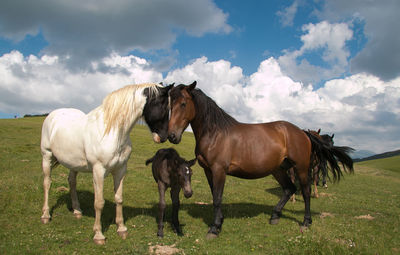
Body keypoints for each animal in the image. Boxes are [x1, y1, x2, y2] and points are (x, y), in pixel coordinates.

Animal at [39, 82, 173, 244]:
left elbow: (119, 199)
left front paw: (121, 229)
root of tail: (52, 115)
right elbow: (99, 202)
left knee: (72, 182)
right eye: (164, 106)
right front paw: (98, 235)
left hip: (73, 163)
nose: (164, 137)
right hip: (47, 156)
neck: (113, 132)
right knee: (47, 183)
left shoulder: (121, 170)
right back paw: (45, 215)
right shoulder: (98, 170)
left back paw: (77, 211)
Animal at [167, 82, 354, 239]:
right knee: (289, 189)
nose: (172, 136)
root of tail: (302, 132)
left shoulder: (219, 170)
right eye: (170, 105)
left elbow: (218, 198)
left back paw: (306, 222)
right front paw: (219, 222)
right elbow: (215, 196)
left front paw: (214, 228)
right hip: (278, 169)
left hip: (301, 167)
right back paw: (275, 216)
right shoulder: (208, 170)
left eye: (183, 104)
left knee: (305, 192)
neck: (215, 133)